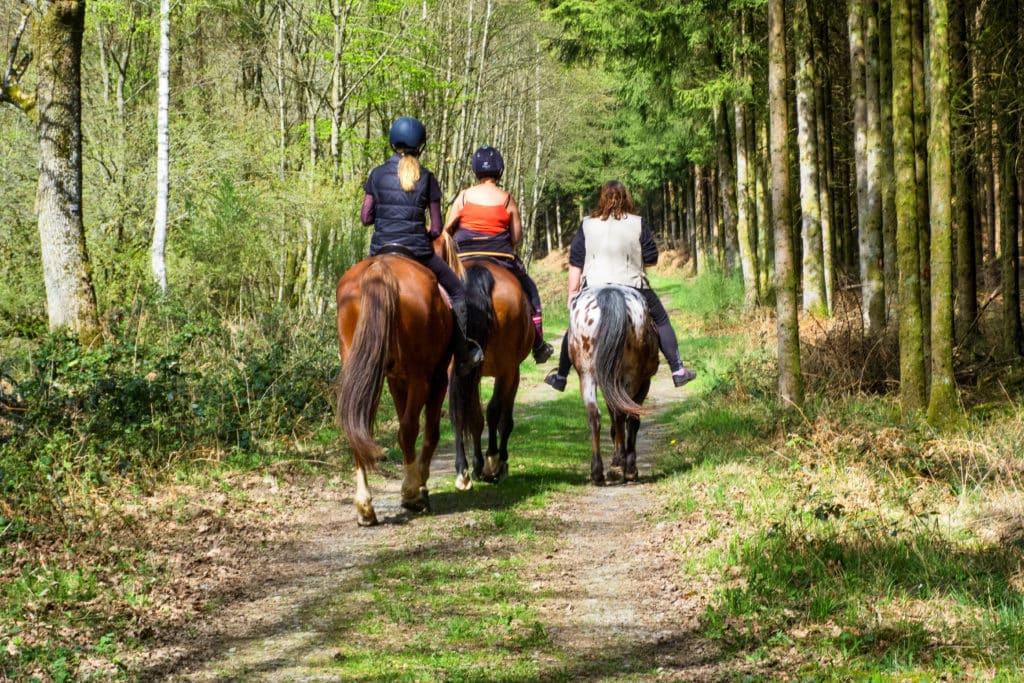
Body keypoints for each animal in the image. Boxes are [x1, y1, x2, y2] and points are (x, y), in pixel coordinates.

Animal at [335, 253, 452, 528]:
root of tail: (379, 268)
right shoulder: (438, 378)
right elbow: (430, 432)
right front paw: (421, 483)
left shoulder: (396, 380)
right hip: (422, 377)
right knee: (409, 428)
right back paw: (411, 493)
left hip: (363, 371)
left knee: (358, 427)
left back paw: (364, 507)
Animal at [448, 258, 536, 491]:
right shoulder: (513, 372)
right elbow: (504, 418)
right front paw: (498, 462)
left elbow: (474, 418)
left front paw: (478, 466)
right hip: (507, 368)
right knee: (495, 410)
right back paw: (493, 460)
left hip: (458, 368)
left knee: (461, 413)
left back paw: (464, 470)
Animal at [565, 286, 659, 483]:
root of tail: (609, 293)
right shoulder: (644, 382)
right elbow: (632, 420)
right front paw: (628, 466)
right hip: (630, 377)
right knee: (622, 414)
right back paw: (622, 468)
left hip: (586, 374)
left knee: (594, 415)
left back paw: (597, 472)